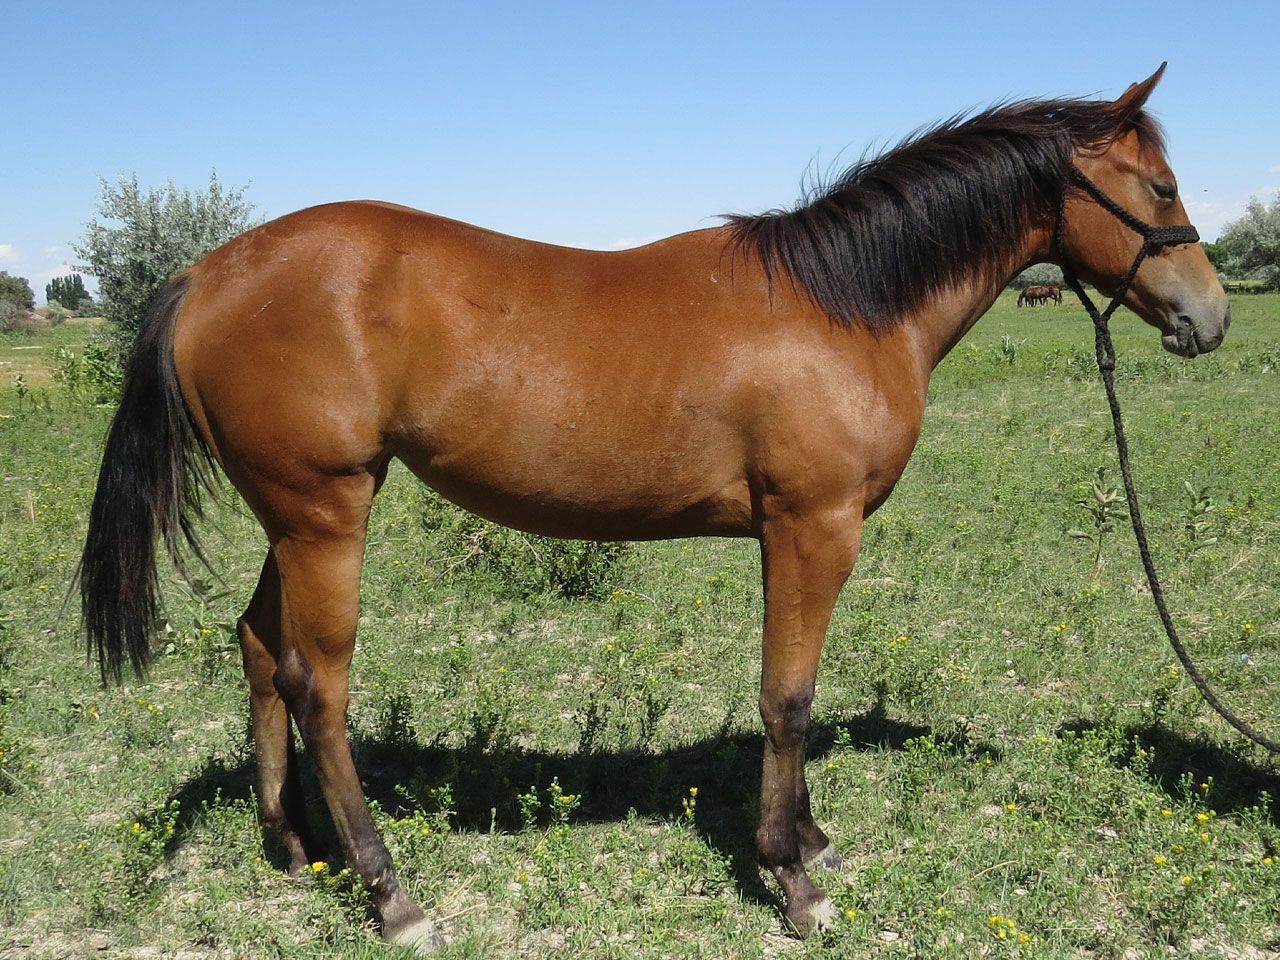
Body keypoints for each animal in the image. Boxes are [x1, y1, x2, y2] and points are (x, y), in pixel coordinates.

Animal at [79, 64, 1226, 951]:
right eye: (1161, 185)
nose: (1209, 318)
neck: (846, 305)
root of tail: (206, 272)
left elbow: (791, 695)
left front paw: (810, 840)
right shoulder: (811, 527)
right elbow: (787, 697)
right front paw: (794, 879)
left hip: (295, 519)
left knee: (256, 648)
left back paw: (291, 846)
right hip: (325, 515)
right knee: (318, 687)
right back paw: (392, 896)